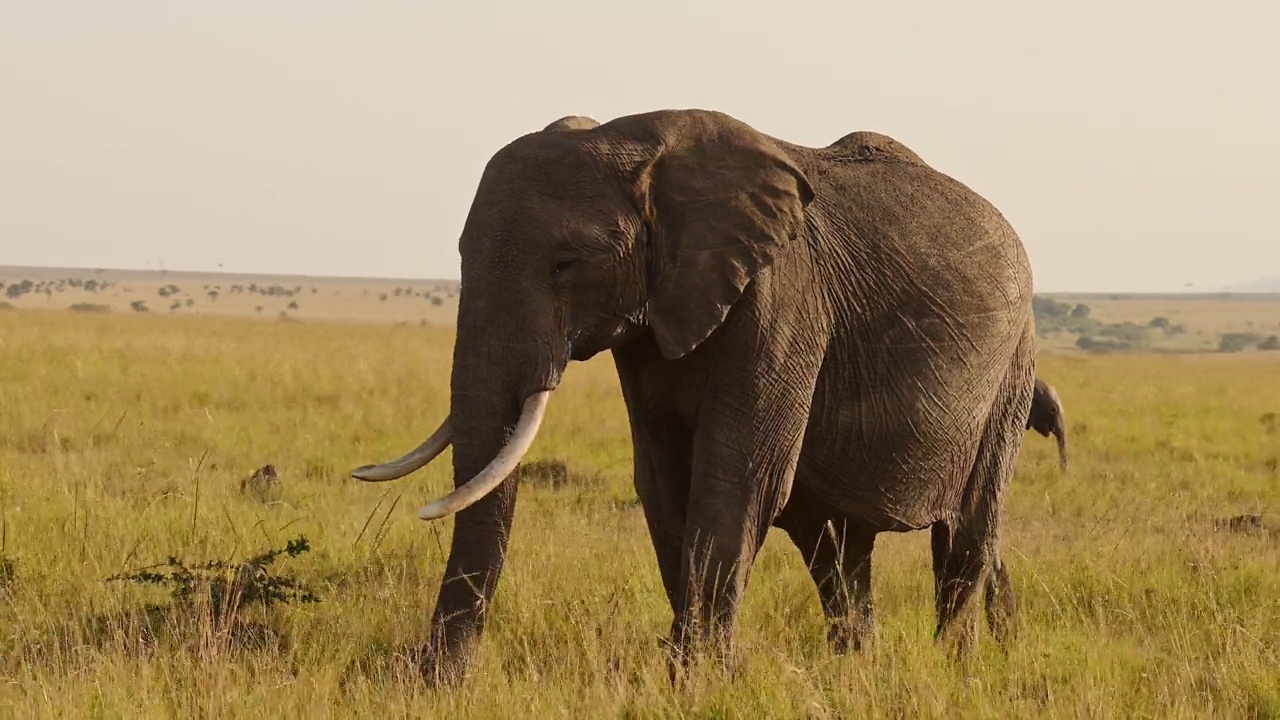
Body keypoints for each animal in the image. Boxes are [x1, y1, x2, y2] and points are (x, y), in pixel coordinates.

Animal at [353, 109, 1039, 681]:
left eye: (565, 265)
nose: (429, 674)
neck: (641, 150)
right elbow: (664, 483)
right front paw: (691, 669)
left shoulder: (782, 298)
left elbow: (737, 479)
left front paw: (702, 678)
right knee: (836, 548)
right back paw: (854, 667)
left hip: (1012, 370)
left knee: (964, 534)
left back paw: (953, 669)